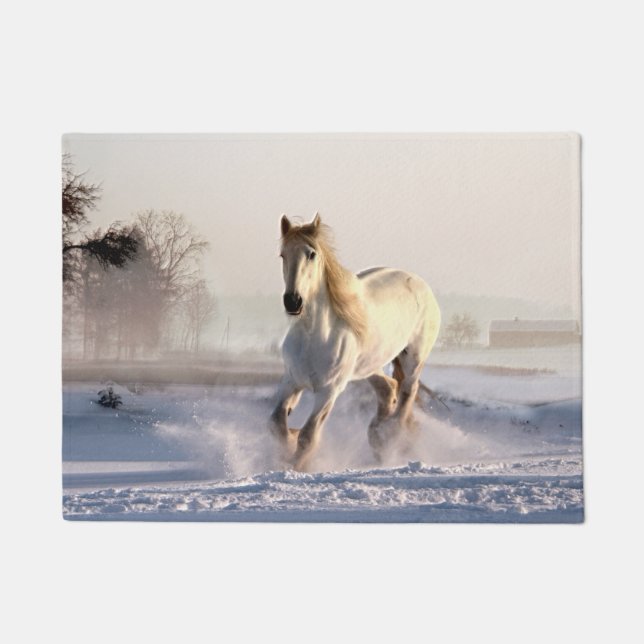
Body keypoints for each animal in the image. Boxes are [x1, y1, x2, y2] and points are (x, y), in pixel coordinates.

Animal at [269, 213, 441, 471]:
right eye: (283, 255)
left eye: (311, 254)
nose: (293, 301)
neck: (313, 336)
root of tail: (421, 285)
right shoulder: (291, 381)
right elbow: (277, 423)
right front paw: (289, 440)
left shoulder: (329, 390)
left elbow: (308, 436)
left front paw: (296, 466)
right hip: (368, 366)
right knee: (388, 388)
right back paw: (377, 436)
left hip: (413, 358)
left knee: (407, 393)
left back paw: (389, 436)